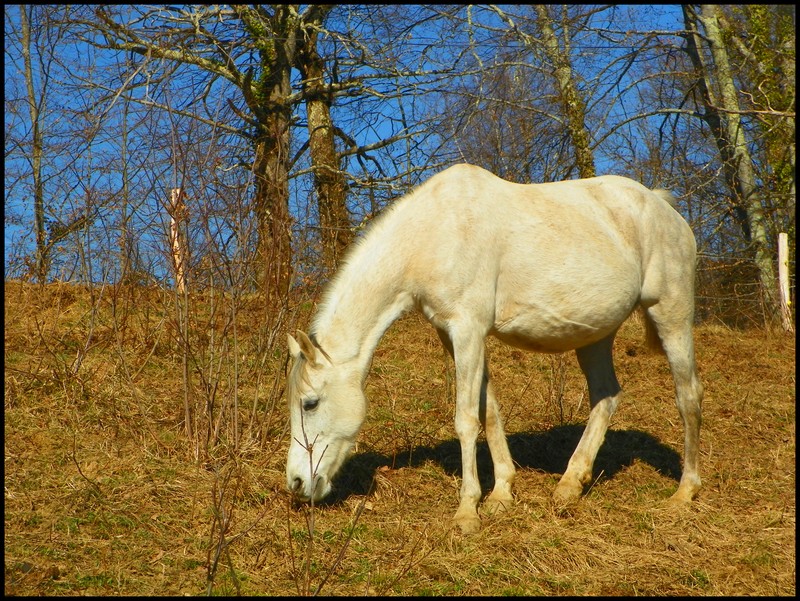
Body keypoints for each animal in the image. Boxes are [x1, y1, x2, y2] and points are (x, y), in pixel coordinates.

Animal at [284, 162, 704, 532]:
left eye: (310, 403)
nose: (297, 484)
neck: (434, 234)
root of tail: (663, 206)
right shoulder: (453, 333)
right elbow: (490, 412)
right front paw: (502, 493)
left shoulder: (468, 329)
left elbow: (467, 419)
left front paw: (467, 511)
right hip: (595, 336)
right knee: (606, 396)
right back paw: (570, 485)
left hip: (670, 313)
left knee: (688, 396)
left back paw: (685, 493)